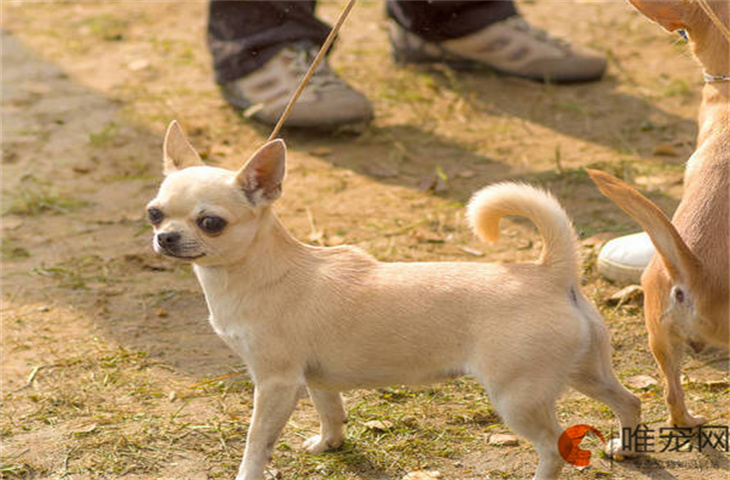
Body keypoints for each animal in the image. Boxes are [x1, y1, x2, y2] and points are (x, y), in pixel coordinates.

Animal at [146, 122, 636, 478]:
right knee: (629, 400)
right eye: (154, 213)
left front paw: (251, 471)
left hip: (517, 397)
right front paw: (330, 446)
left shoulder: (275, 383)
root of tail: (550, 272)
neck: (258, 271)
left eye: (211, 223)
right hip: (585, 372)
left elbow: (256, 443)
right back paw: (627, 447)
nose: (165, 237)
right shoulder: (314, 378)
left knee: (554, 448)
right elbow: (331, 412)